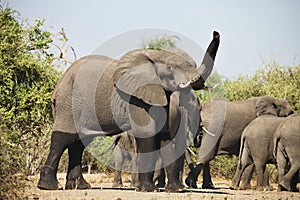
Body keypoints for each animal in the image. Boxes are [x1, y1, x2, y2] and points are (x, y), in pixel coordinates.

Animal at [37, 31, 220, 192]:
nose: (216, 32)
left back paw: (80, 187)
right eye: (169, 68)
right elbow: (147, 132)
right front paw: (148, 190)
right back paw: (48, 186)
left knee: (79, 142)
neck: (154, 55)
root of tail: (58, 84)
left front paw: (175, 190)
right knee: (62, 138)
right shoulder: (136, 97)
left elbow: (164, 135)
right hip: (67, 102)